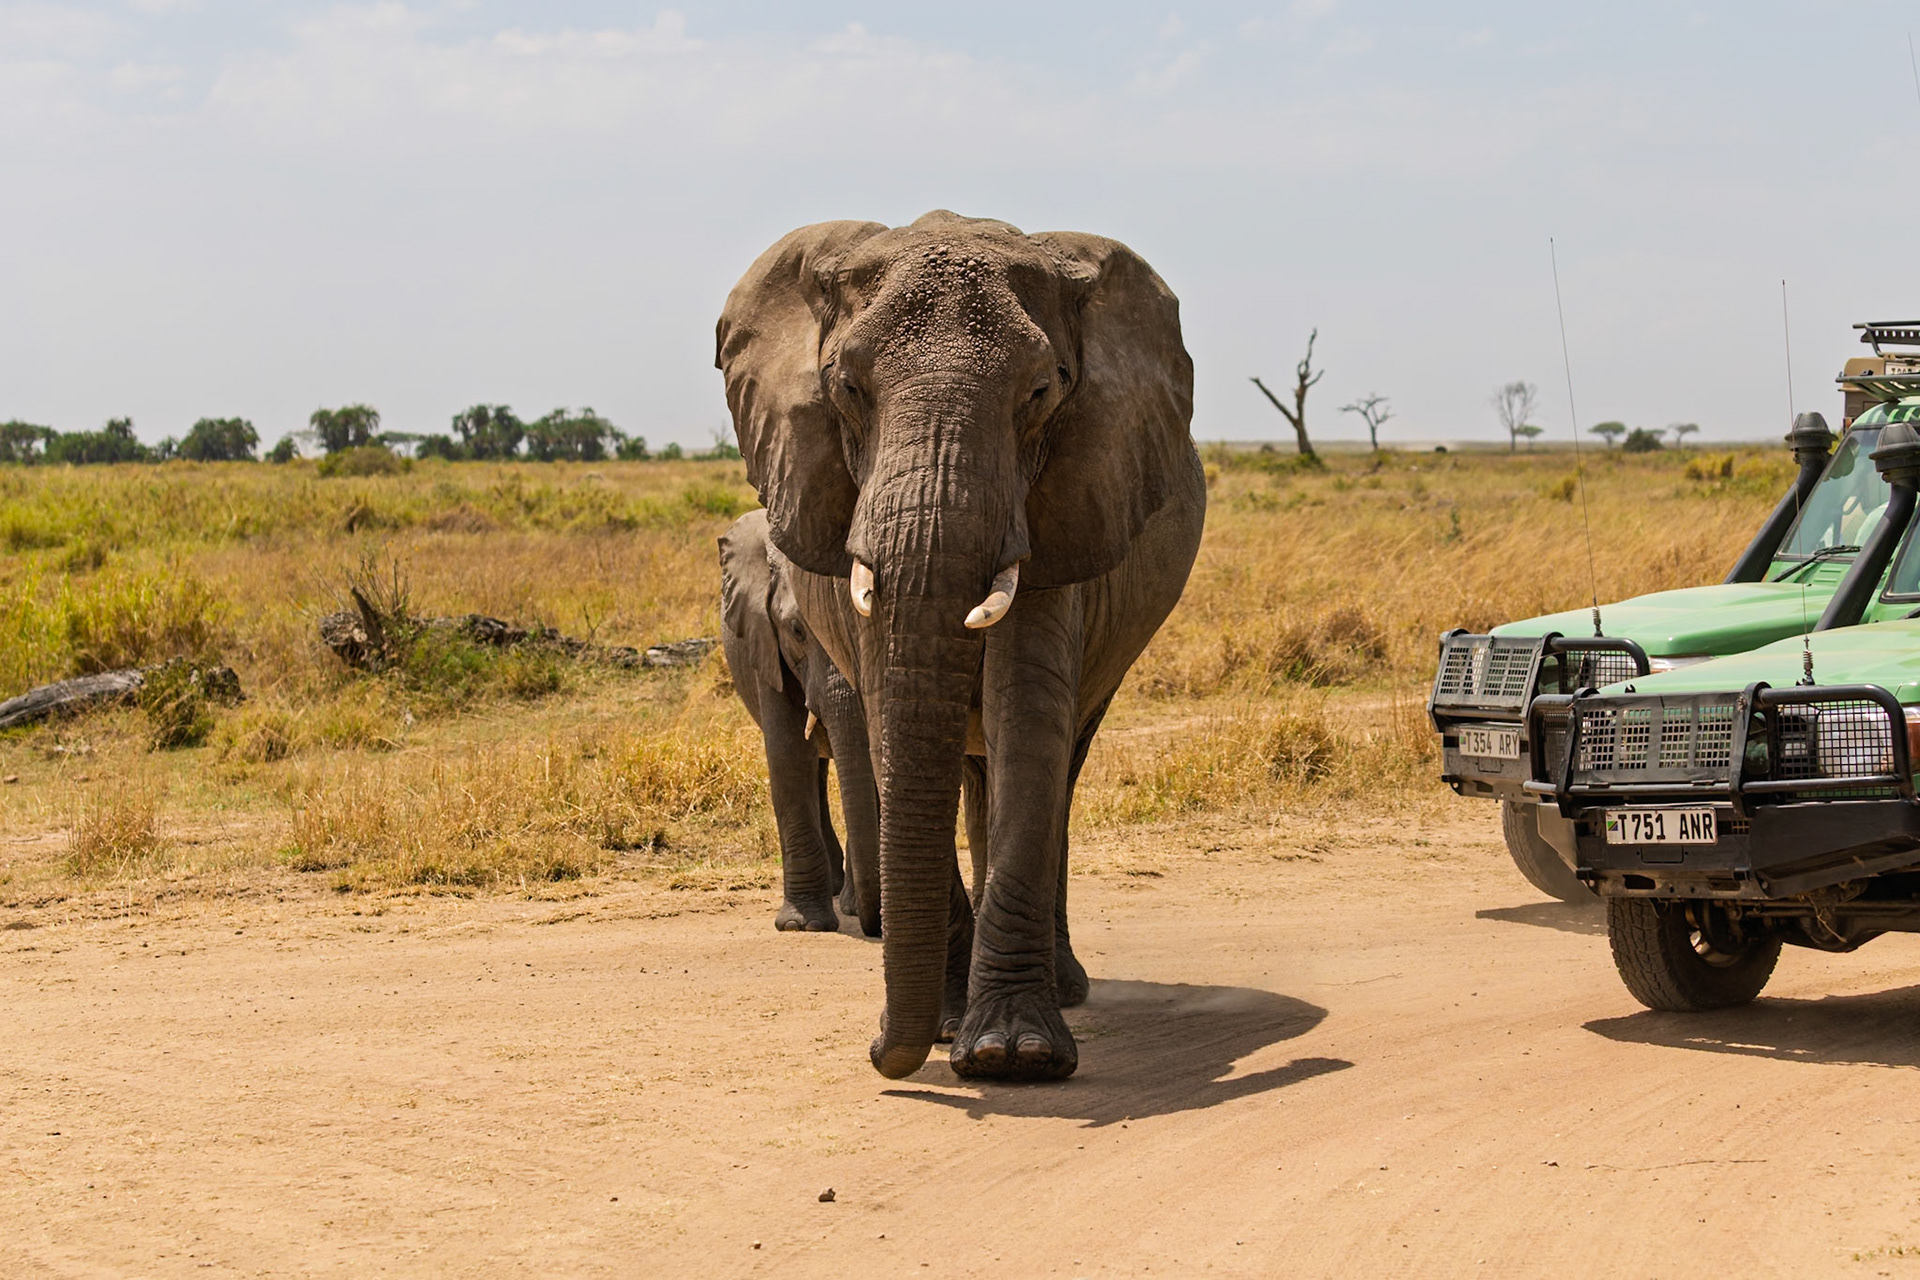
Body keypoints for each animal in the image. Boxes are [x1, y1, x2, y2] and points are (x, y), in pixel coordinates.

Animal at [719, 508, 881, 938]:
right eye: (796, 631)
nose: (875, 926)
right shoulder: (763, 640)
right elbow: (788, 751)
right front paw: (800, 926)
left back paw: (848, 899)